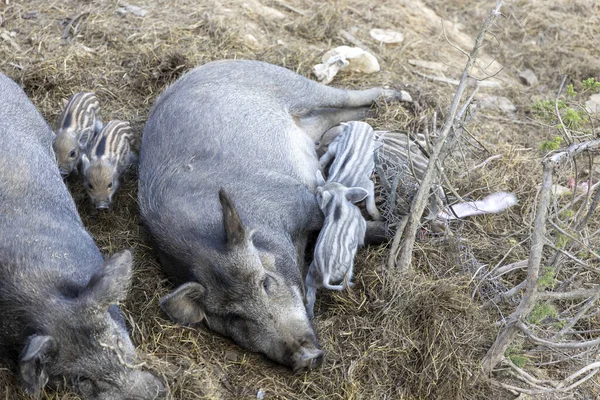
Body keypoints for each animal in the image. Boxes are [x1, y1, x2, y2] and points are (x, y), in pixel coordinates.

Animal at [139, 60, 404, 372]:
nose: (304, 358)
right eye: (234, 317)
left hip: (290, 83)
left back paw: (398, 96)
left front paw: (388, 229)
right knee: (332, 117)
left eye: (266, 281)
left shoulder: (299, 198)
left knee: (347, 96)